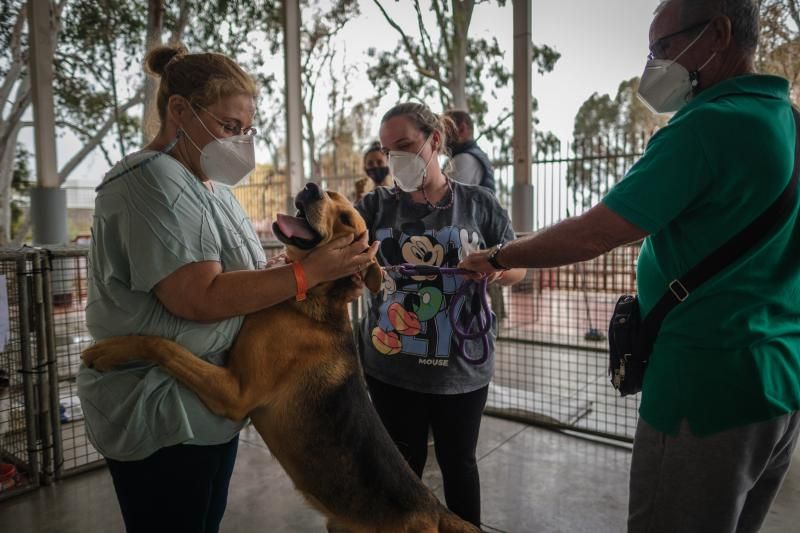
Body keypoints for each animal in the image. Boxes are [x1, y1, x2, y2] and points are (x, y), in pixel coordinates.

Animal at [83, 183, 478, 532]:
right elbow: (166, 345)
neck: (306, 302)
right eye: (329, 195)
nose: (311, 187)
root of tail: (435, 509)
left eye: (346, 220)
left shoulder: (235, 393)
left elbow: (163, 345)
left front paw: (109, 350)